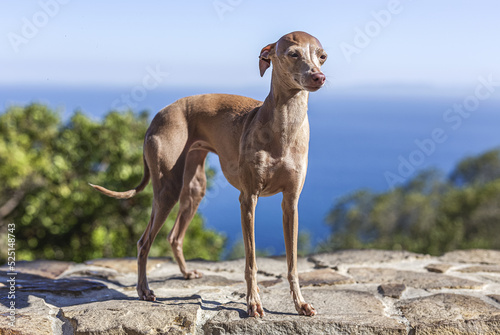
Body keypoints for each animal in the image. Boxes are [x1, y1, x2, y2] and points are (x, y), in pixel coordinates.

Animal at [91, 32, 328, 318]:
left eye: (322, 56)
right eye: (293, 54)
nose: (319, 77)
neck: (283, 127)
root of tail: (159, 114)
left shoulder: (291, 203)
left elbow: (292, 264)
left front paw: (300, 303)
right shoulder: (248, 199)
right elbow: (251, 262)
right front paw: (253, 303)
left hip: (194, 189)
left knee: (174, 237)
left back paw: (185, 273)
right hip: (167, 190)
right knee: (143, 242)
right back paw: (144, 290)